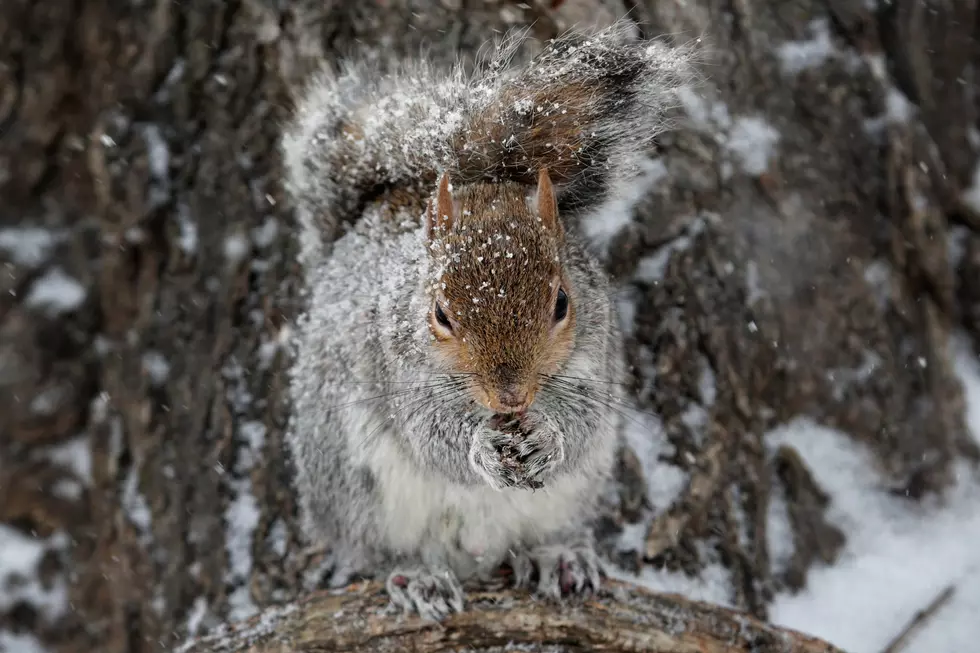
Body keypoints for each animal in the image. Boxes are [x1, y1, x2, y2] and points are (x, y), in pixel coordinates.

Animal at [280, 21, 700, 620]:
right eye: (439, 313)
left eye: (562, 303)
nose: (512, 397)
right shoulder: (398, 373)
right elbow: (433, 436)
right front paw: (480, 446)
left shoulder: (595, 357)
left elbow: (582, 418)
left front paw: (546, 436)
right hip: (355, 490)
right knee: (375, 550)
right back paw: (416, 575)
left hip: (573, 496)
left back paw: (558, 556)